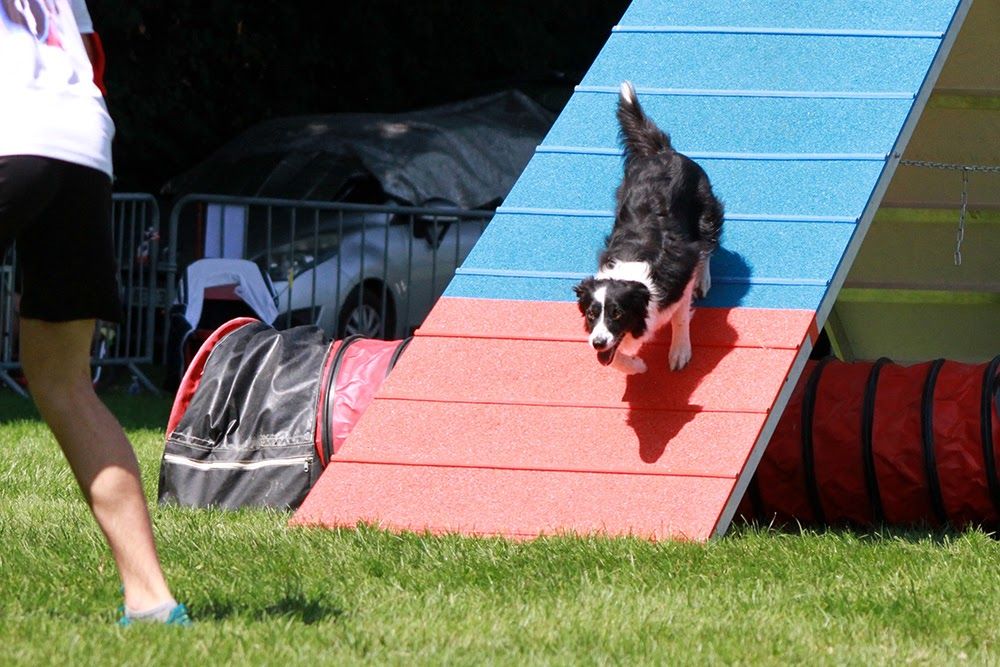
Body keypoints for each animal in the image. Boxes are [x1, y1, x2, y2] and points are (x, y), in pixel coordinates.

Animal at [576, 82, 724, 376]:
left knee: (707, 247)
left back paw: (704, 278)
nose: (597, 342)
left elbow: (680, 317)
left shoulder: (681, 273)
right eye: (591, 314)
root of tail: (661, 151)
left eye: (617, 313)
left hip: (707, 214)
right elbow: (612, 358)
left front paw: (680, 351)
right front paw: (635, 366)